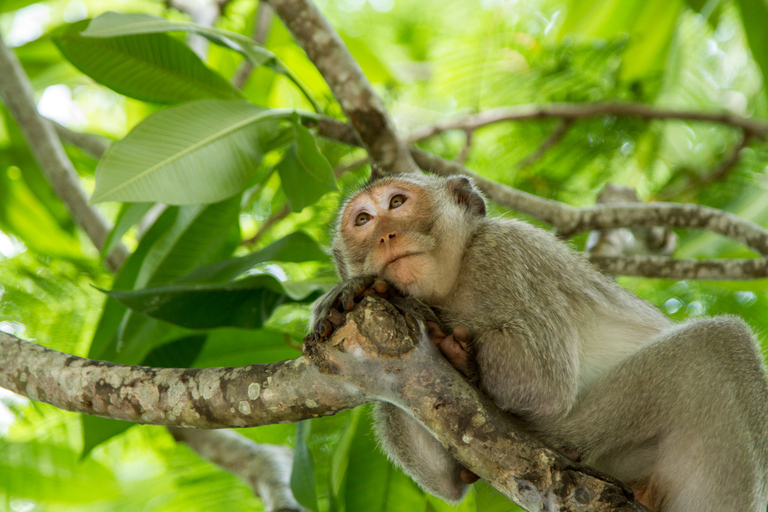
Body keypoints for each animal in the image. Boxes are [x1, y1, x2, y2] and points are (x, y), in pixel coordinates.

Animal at [310, 172, 768, 512]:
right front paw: (359, 292)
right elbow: (447, 479)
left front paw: (441, 335)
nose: (385, 235)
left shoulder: (504, 255)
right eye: (363, 220)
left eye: (397, 204)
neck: (452, 286)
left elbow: (542, 384)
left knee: (716, 345)